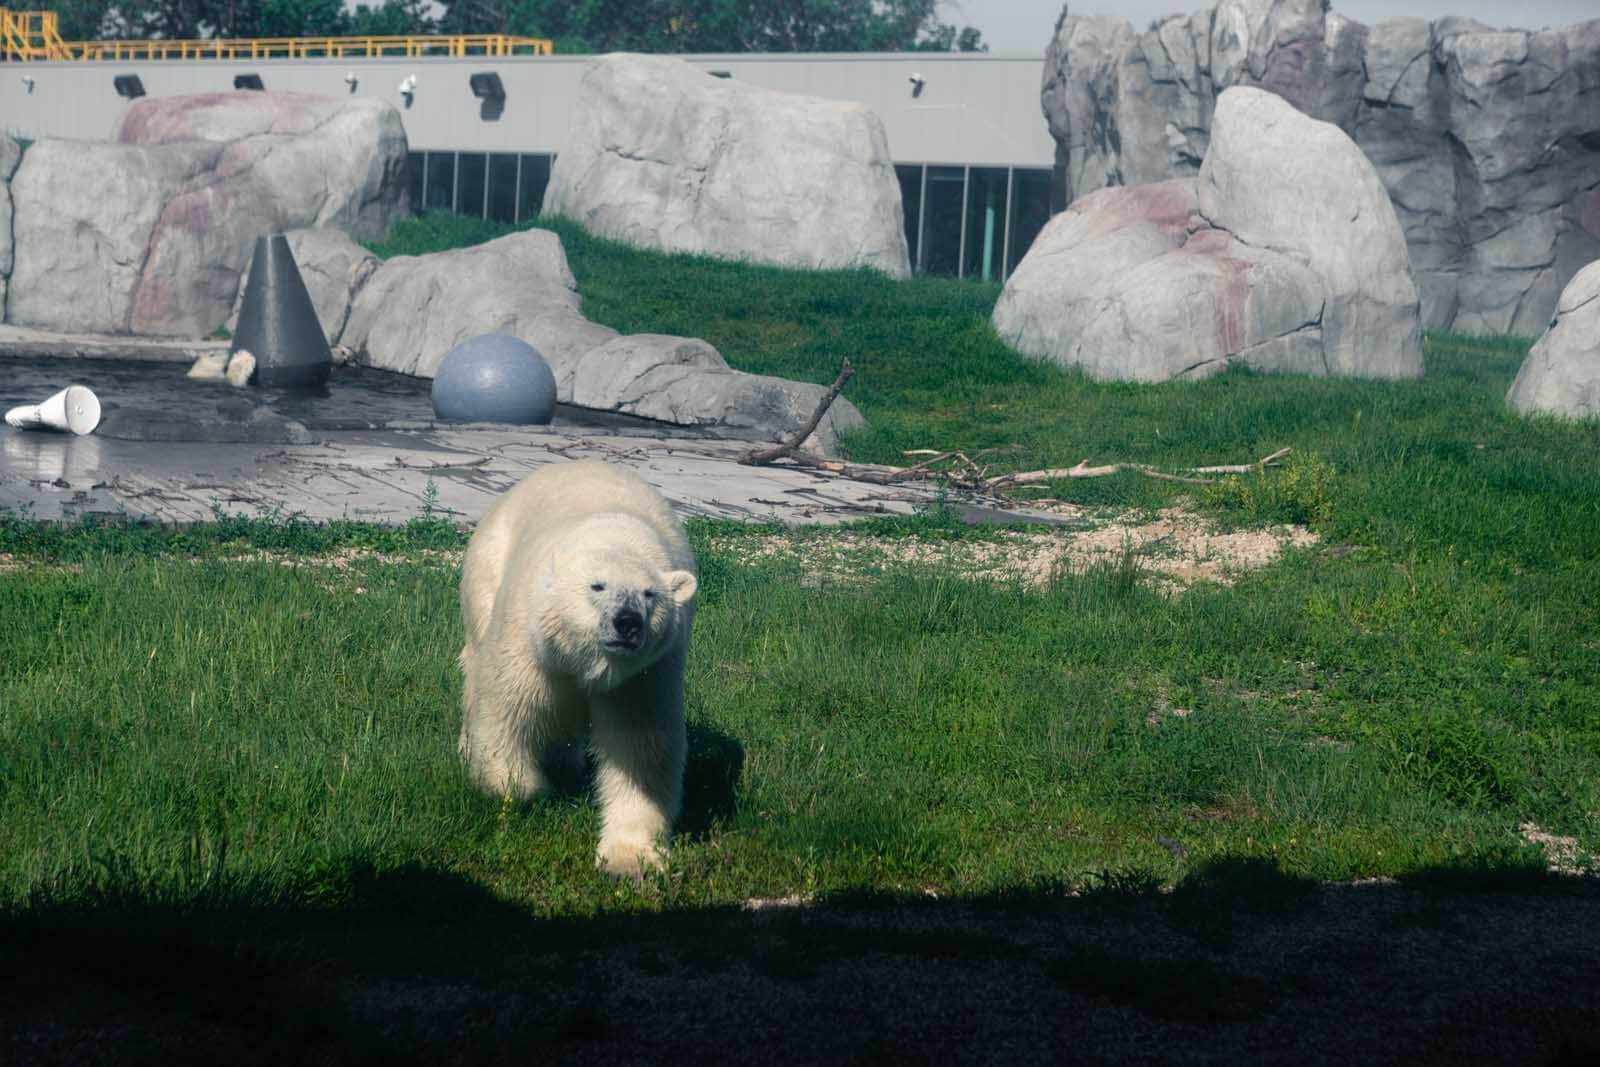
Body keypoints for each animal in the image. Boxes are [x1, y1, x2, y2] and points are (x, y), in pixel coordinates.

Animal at [454, 463, 697, 883]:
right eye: (597, 586)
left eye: (649, 594)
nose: (627, 622)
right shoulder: (531, 644)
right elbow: (507, 714)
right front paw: (529, 787)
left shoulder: (643, 676)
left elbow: (640, 751)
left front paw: (629, 860)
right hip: (487, 566)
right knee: (476, 660)